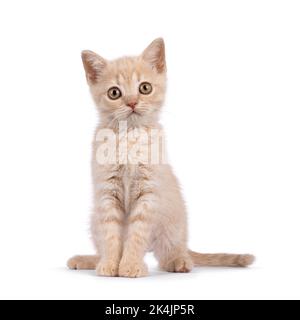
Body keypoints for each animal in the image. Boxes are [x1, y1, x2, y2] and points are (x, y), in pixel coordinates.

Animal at [67, 38, 253, 278]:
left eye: (144, 88)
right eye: (114, 93)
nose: (132, 102)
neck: (130, 135)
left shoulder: (149, 194)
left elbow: (137, 234)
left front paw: (130, 265)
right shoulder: (107, 194)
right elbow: (110, 235)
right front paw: (109, 265)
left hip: (173, 223)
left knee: (170, 253)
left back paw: (179, 261)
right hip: (94, 218)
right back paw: (89, 260)